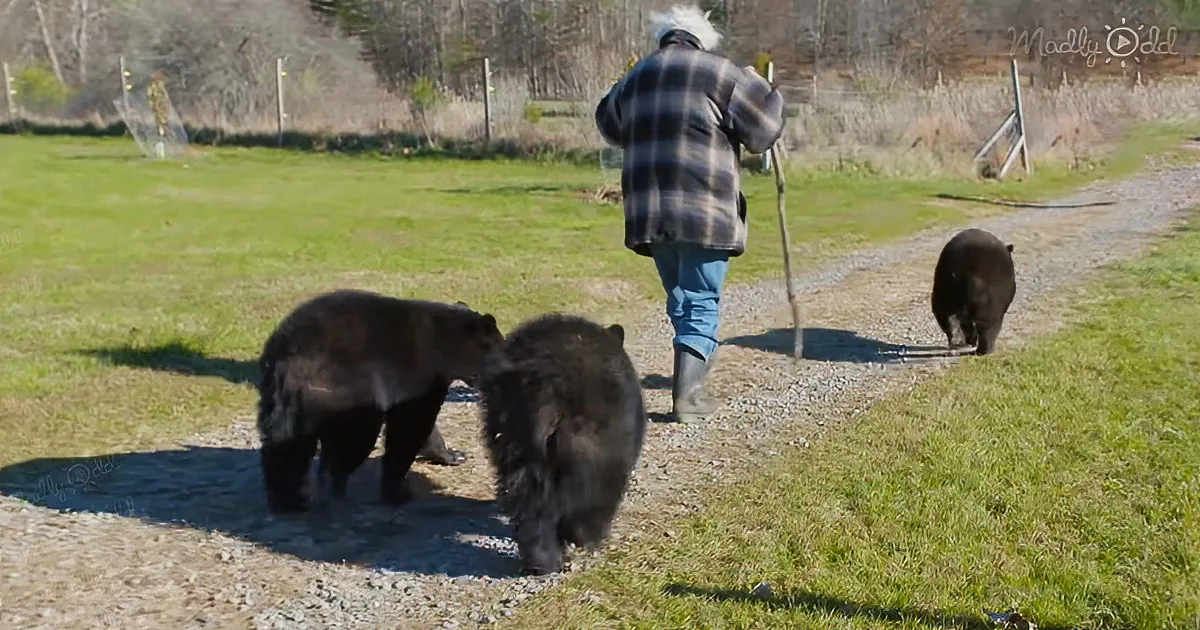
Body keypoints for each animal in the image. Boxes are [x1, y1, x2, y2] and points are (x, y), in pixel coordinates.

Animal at [255, 289, 504, 514]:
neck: (447, 348)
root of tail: (288, 352)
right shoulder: (421, 376)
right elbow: (411, 426)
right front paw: (397, 492)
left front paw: (454, 454)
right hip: (346, 389)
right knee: (350, 438)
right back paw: (333, 488)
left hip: (280, 399)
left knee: (285, 445)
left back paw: (287, 501)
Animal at [476, 312, 647, 576]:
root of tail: (546, 385)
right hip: (589, 443)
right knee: (588, 494)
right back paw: (586, 538)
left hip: (511, 434)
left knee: (526, 491)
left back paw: (540, 560)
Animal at [931, 228, 1016, 356]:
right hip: (990, 307)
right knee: (987, 329)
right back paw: (984, 351)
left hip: (941, 298)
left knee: (949, 324)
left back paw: (955, 346)